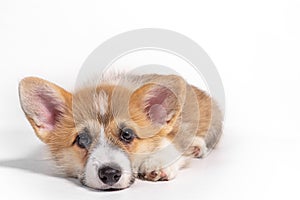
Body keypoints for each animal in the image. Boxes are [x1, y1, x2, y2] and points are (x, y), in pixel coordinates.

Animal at [18, 74, 223, 191]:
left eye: (127, 135)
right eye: (81, 140)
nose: (109, 174)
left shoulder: (177, 133)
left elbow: (170, 144)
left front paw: (157, 165)